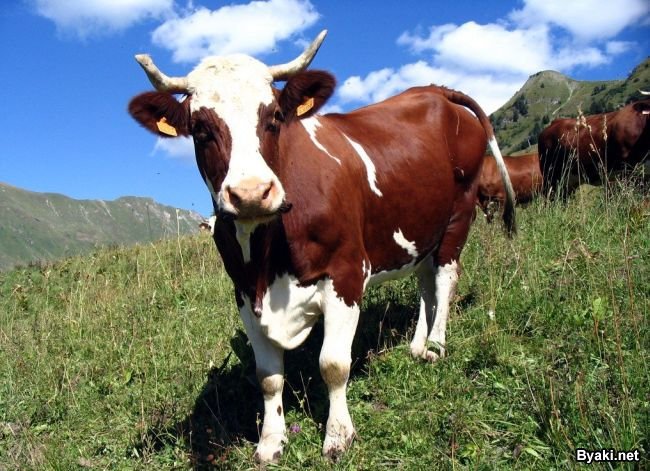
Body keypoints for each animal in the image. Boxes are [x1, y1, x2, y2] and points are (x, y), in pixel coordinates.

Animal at [128, 30, 516, 463]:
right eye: (199, 129)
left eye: (274, 118)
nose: (251, 193)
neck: (269, 262)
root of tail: (436, 90)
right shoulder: (244, 293)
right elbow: (268, 377)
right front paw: (271, 441)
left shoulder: (345, 275)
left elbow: (333, 364)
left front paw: (338, 435)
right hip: (419, 228)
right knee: (425, 283)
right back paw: (418, 345)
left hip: (459, 213)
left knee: (446, 278)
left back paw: (436, 344)